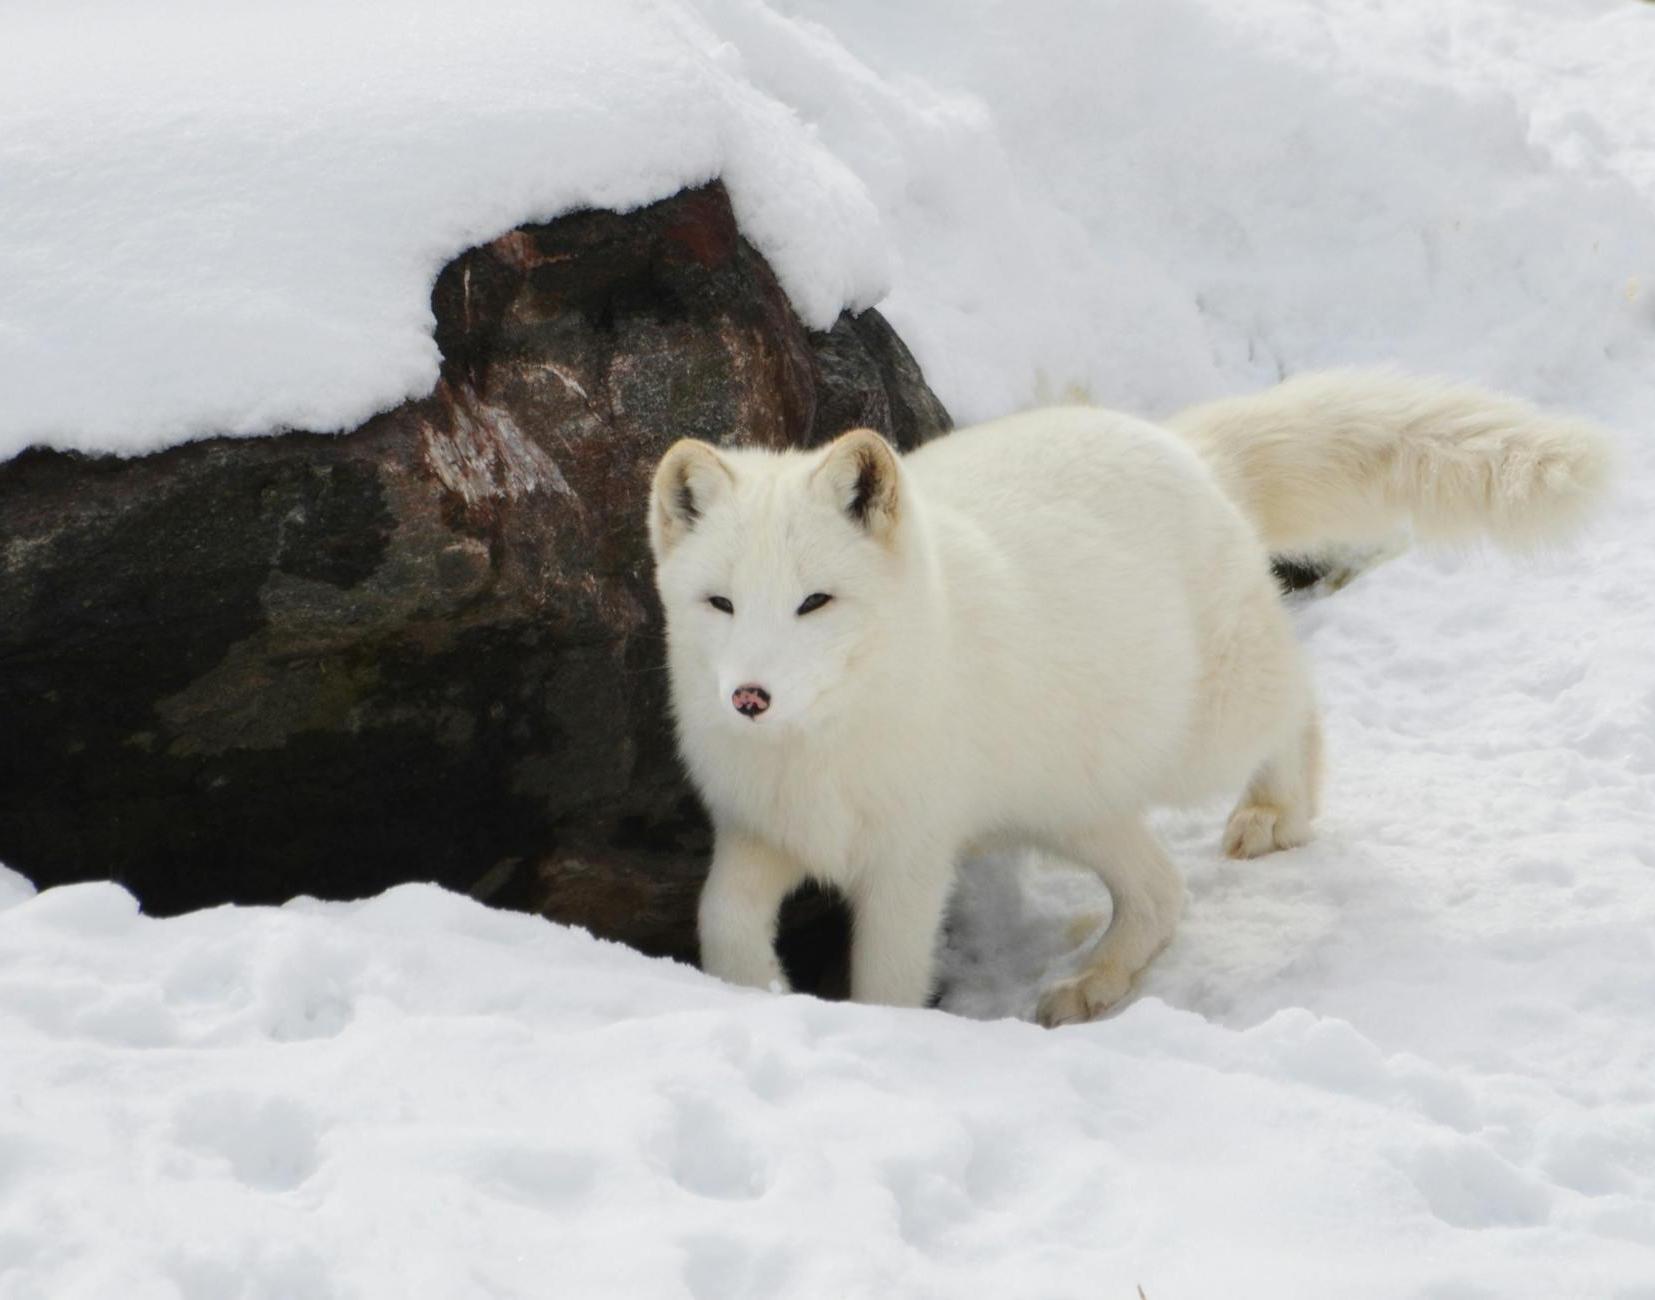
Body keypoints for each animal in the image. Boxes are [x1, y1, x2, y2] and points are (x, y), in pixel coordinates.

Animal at [648, 367, 1615, 1026]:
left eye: (815, 602)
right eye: (720, 603)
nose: (748, 697)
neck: (818, 751)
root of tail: (1185, 450)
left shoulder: (908, 860)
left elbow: (886, 982)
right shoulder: (757, 832)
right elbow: (720, 921)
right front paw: (750, 995)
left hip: (1197, 740)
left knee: (1297, 701)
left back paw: (1277, 812)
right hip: (1070, 802)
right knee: (1160, 893)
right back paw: (1094, 982)